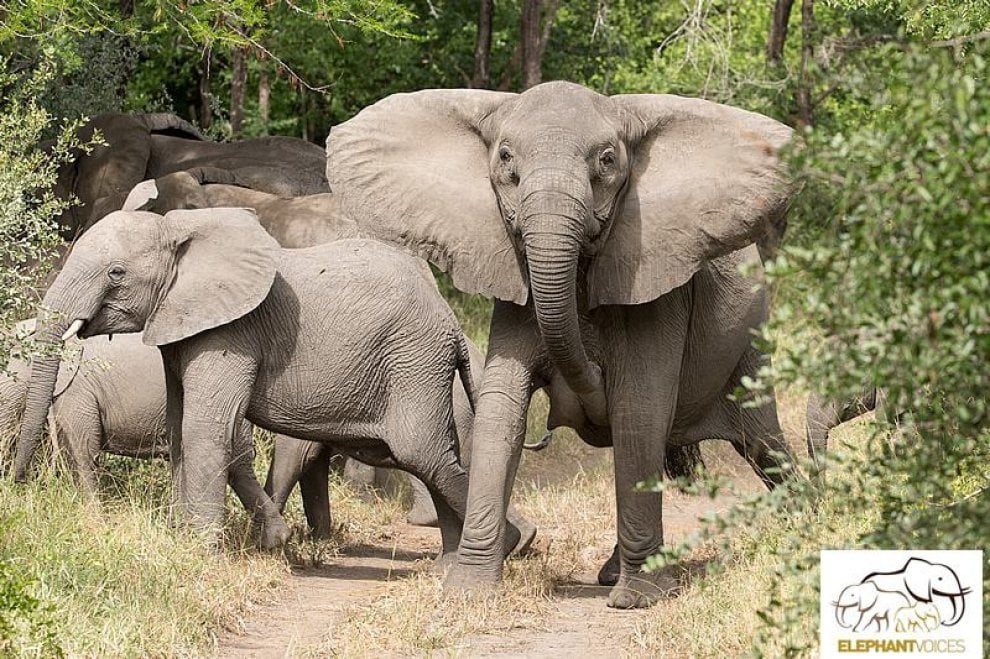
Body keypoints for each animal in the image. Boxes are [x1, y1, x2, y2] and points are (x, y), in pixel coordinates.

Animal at [15, 207, 533, 563]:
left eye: (116, 273)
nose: (18, 484)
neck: (178, 230)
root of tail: (454, 327)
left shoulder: (232, 332)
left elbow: (206, 429)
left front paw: (202, 554)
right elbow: (182, 429)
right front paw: (183, 539)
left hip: (414, 361)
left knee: (423, 451)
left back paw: (509, 545)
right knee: (432, 455)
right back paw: (466, 557)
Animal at [325, 80, 797, 608]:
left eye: (608, 161)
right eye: (505, 158)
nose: (575, 401)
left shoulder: (654, 283)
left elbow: (638, 410)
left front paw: (639, 599)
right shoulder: (514, 281)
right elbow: (500, 411)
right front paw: (468, 592)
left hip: (751, 343)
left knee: (763, 444)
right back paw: (612, 573)